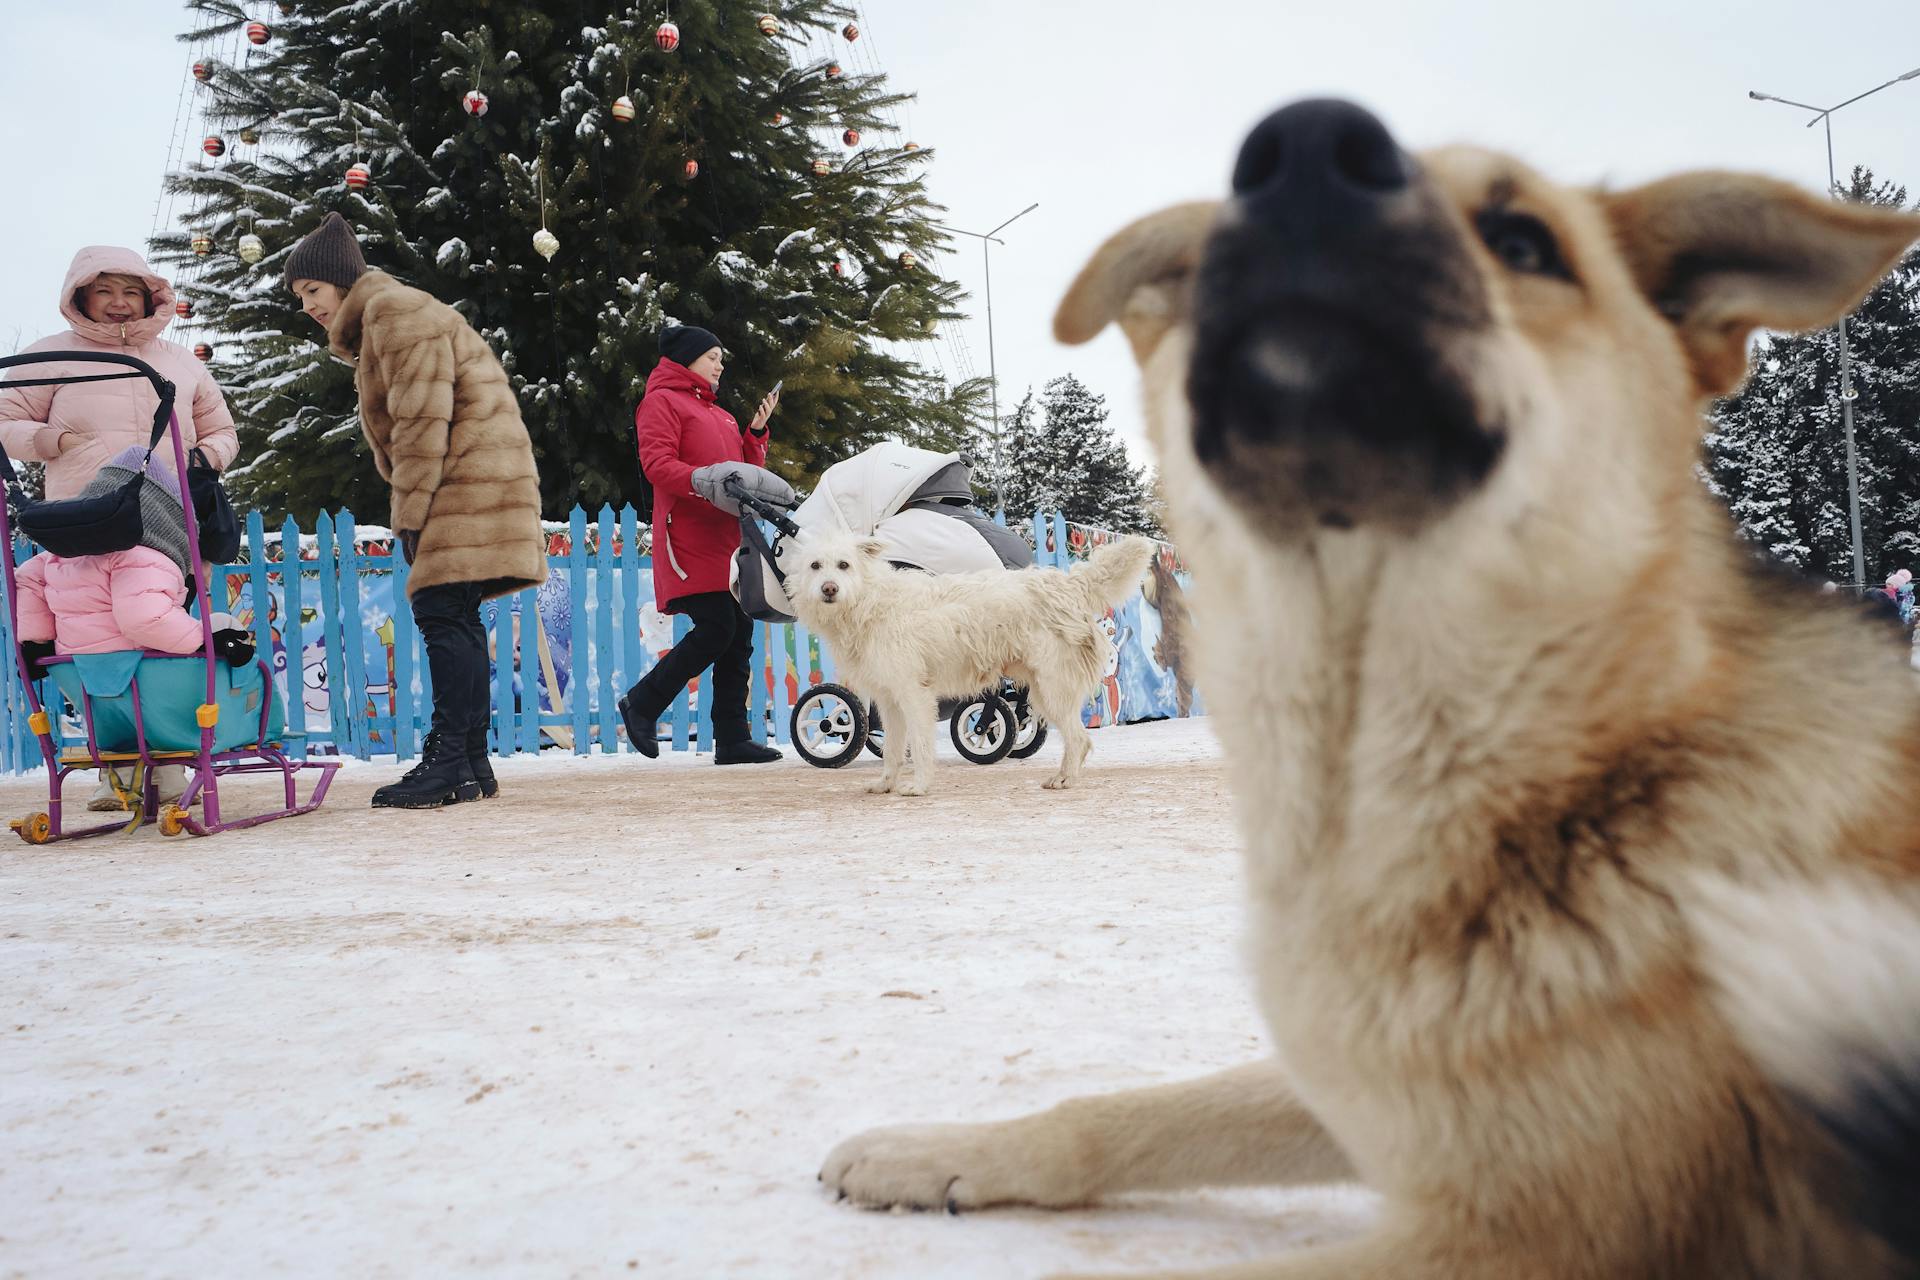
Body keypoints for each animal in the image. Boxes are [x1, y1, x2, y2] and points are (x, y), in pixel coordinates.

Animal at [783, 529, 1152, 790]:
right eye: (815, 566)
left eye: (844, 565)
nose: (829, 588)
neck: (870, 602)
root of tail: (1067, 584)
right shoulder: (889, 701)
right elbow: (892, 750)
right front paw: (886, 784)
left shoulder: (914, 694)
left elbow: (919, 746)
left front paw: (918, 786)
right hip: (1043, 692)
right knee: (1079, 739)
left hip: (1052, 691)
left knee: (1079, 739)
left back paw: (1065, 780)